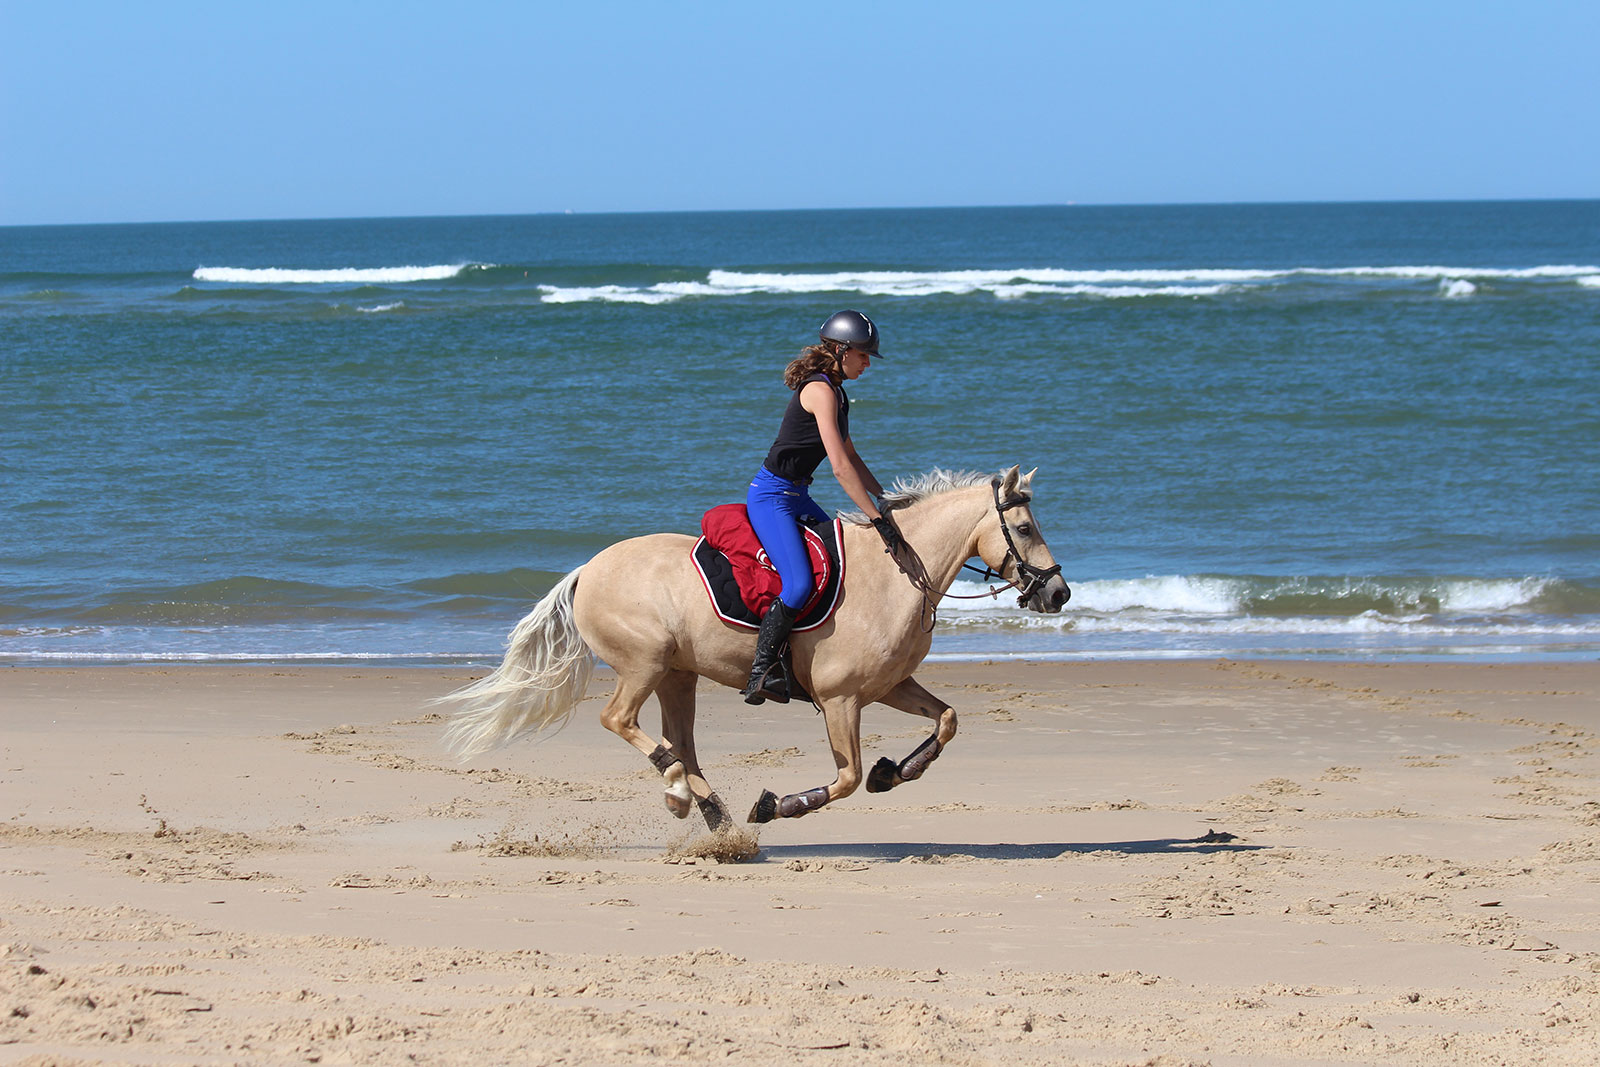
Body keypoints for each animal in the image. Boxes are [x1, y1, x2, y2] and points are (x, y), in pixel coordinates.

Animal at [435, 463, 1075, 831]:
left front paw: (895, 772)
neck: (896, 573)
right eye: (1024, 529)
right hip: (644, 664)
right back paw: (678, 792)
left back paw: (711, 814)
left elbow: (946, 720)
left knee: (680, 743)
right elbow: (846, 778)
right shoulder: (841, 699)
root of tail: (586, 570)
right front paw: (780, 805)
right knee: (622, 721)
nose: (1059, 593)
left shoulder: (887, 686)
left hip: (678, 675)